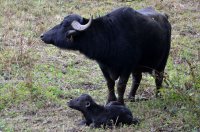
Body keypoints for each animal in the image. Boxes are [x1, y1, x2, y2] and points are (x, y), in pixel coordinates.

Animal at [40, 6, 170, 104]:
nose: (42, 35)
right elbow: (110, 83)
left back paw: (158, 96)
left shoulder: (126, 67)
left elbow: (120, 86)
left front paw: (120, 103)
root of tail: (165, 17)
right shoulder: (102, 65)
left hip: (162, 61)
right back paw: (131, 97)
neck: (110, 36)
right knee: (137, 78)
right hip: (137, 67)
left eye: (64, 25)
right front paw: (110, 100)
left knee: (158, 77)